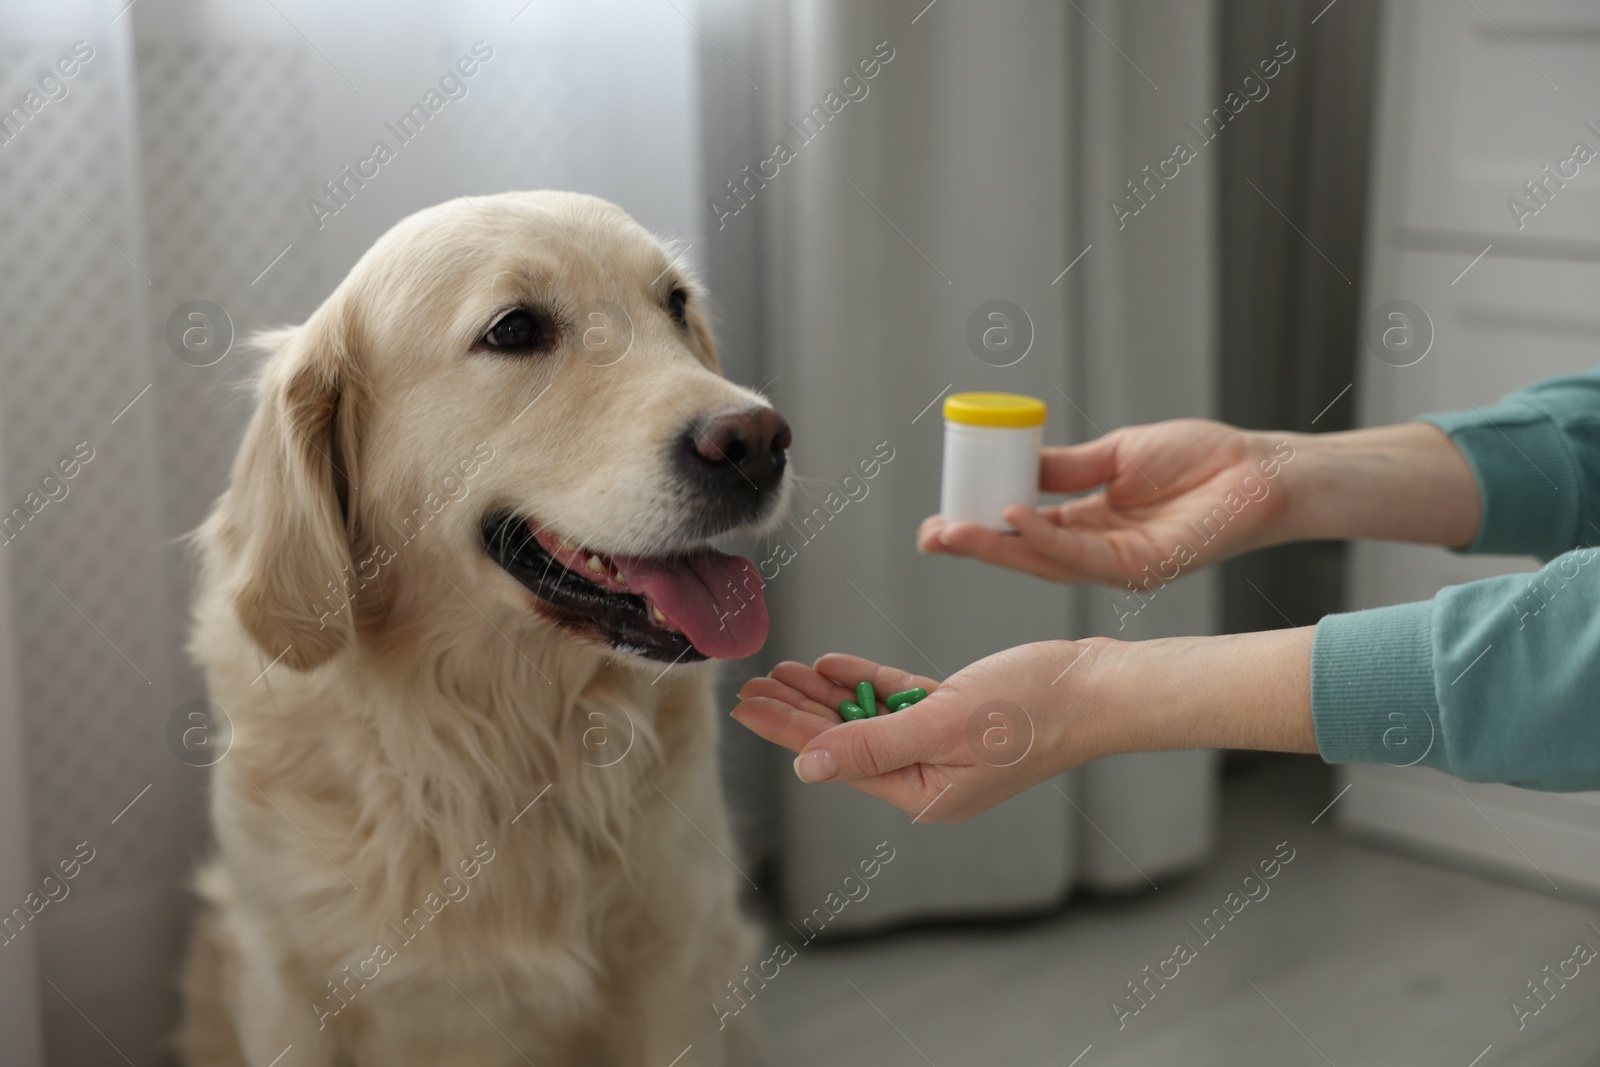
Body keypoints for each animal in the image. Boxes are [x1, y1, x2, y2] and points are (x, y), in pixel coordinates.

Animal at [178, 194, 790, 1067]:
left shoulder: (674, 964)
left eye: (675, 304)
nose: (759, 441)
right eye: (514, 329)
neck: (495, 729)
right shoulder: (280, 980)